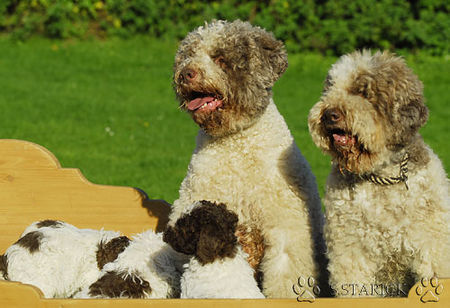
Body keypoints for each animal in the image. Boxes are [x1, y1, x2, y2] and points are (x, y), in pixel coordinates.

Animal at [169, 19, 326, 298]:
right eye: (188, 55)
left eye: (220, 59)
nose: (186, 74)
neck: (235, 143)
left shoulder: (287, 227)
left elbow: (286, 273)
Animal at [310, 50, 450, 296]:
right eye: (329, 88)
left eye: (363, 92)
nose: (328, 114)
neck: (381, 177)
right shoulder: (351, 248)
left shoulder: (433, 244)